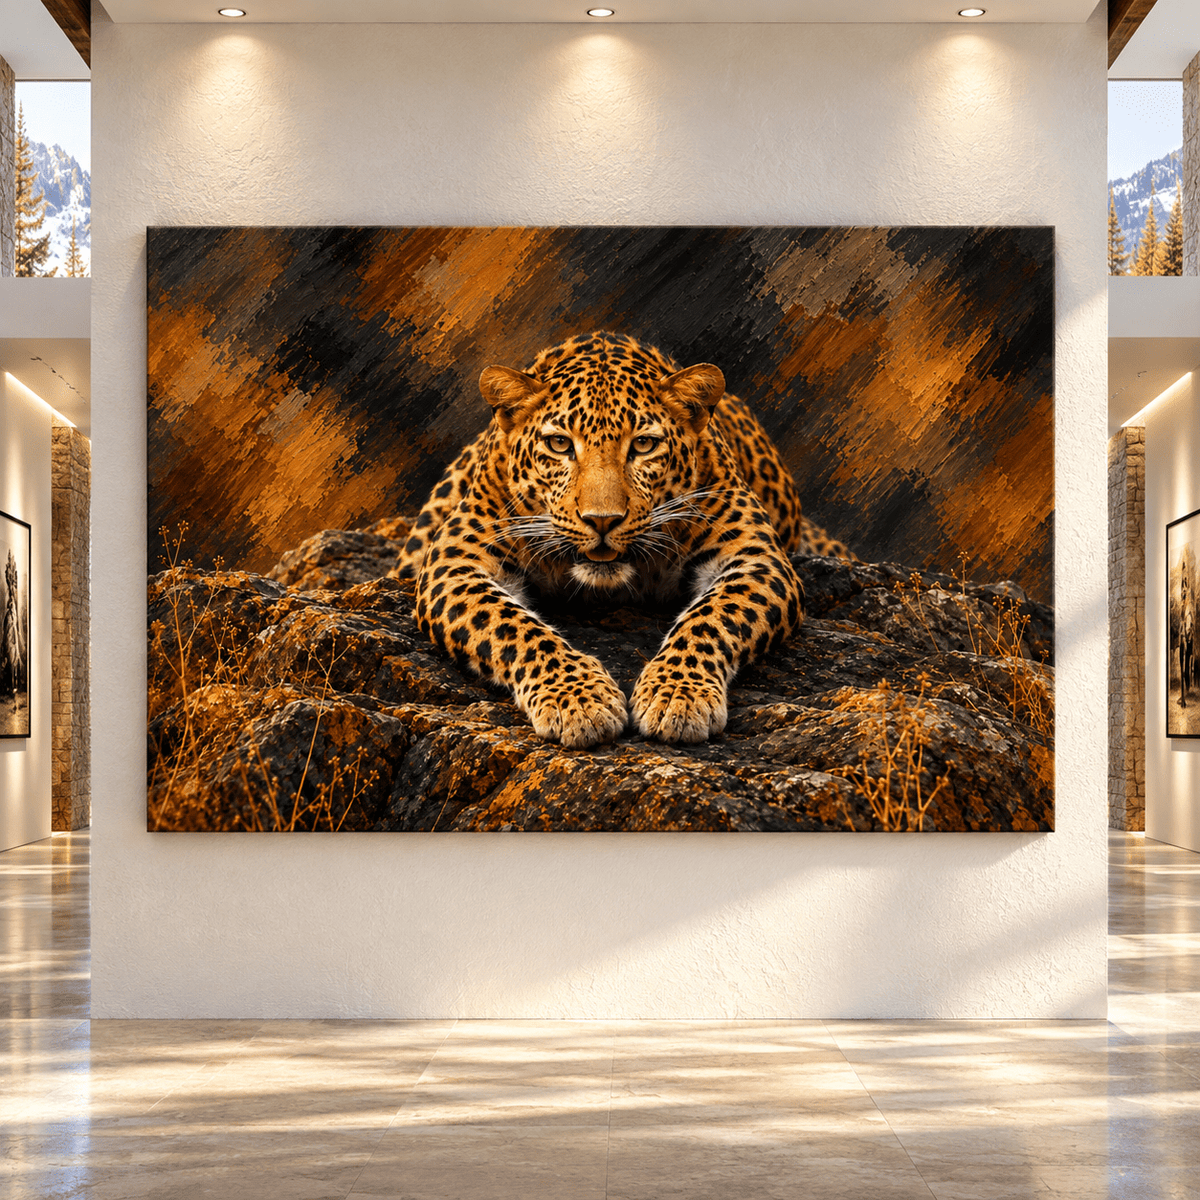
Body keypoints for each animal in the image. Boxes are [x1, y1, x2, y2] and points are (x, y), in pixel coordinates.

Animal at [395, 331, 852, 749]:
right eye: (559, 444)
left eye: (644, 445)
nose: (602, 521)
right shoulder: (455, 564)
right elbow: (513, 626)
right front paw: (579, 700)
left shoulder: (756, 558)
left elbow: (712, 617)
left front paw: (677, 695)